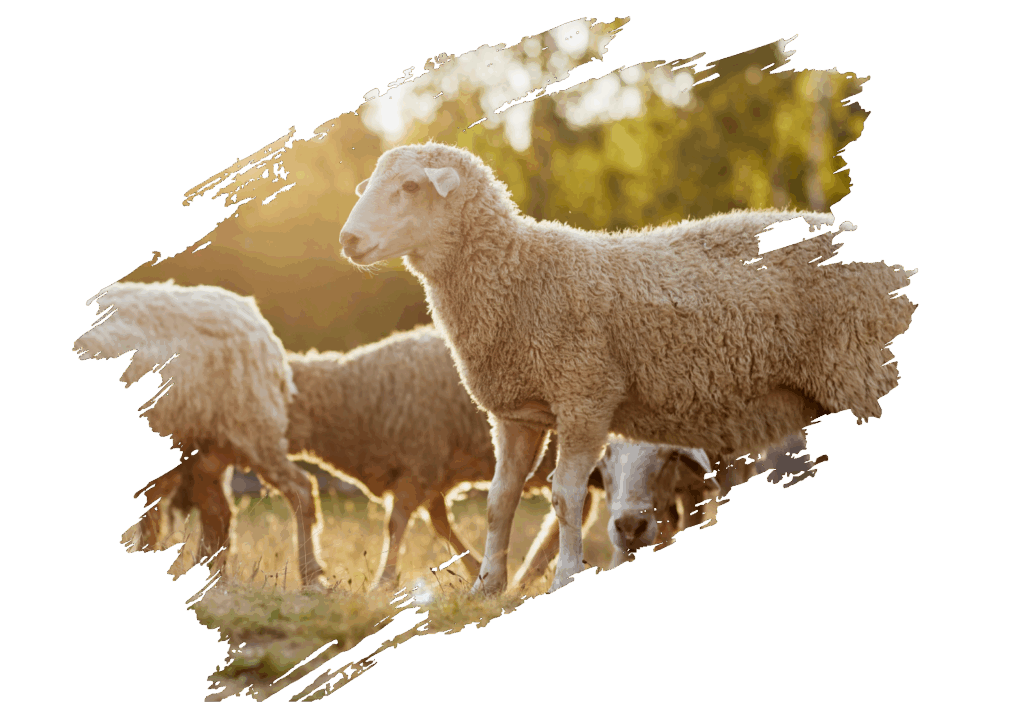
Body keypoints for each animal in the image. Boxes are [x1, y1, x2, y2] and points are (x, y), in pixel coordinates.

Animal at [73, 280, 328, 588]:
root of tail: (253, 314)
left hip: (251, 425)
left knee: (300, 489)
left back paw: (311, 575)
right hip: (206, 446)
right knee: (217, 513)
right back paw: (204, 575)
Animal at [338, 141, 919, 594]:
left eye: (411, 186)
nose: (348, 240)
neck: (518, 273)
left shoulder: (586, 394)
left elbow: (565, 497)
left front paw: (566, 576)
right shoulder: (515, 413)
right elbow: (500, 501)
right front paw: (486, 587)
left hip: (862, 369)